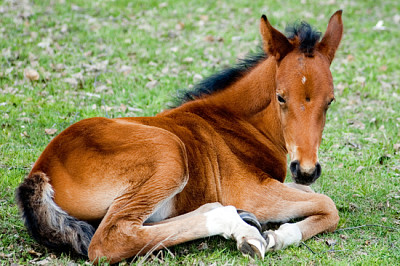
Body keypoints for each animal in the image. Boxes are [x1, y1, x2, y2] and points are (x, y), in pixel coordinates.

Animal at [16, 9, 344, 262]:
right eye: (280, 97)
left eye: (329, 101)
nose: (306, 170)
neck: (237, 123)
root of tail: (41, 172)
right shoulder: (254, 192)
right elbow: (328, 204)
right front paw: (275, 237)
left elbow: (315, 196)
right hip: (169, 151)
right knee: (111, 240)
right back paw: (243, 230)